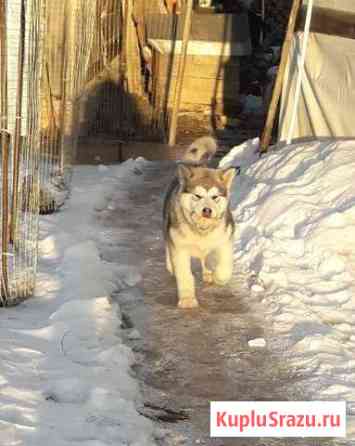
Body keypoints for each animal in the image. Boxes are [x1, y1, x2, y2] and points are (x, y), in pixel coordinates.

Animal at [163, 137, 236, 310]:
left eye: (215, 197)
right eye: (197, 196)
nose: (207, 210)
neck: (201, 229)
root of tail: (197, 164)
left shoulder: (225, 240)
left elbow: (225, 265)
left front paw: (219, 277)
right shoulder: (180, 247)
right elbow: (184, 274)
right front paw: (187, 299)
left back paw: (208, 272)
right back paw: (171, 266)